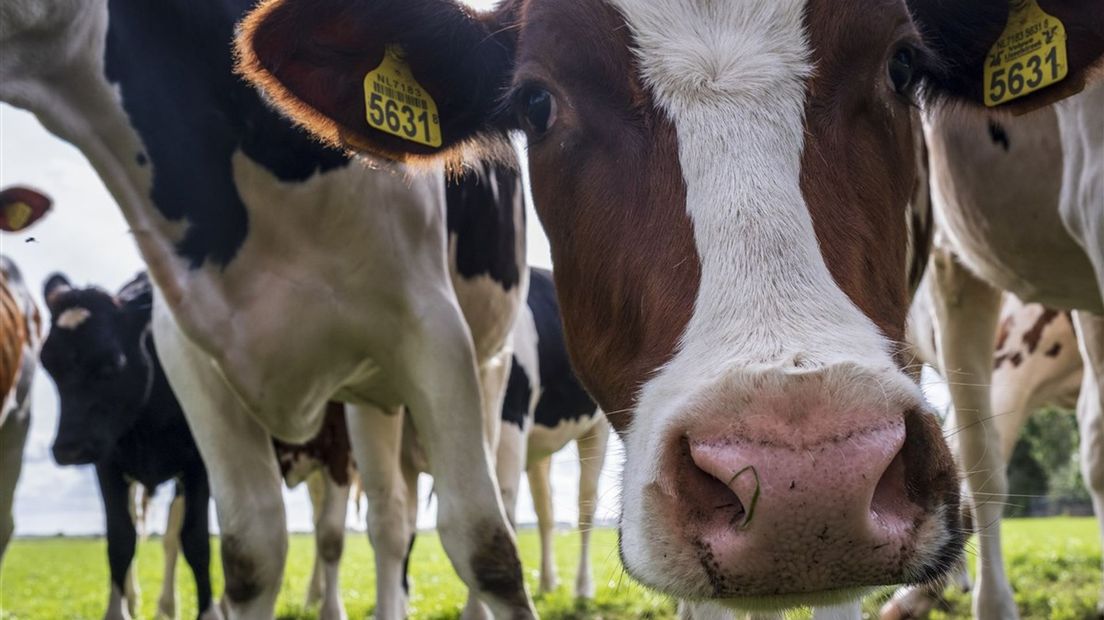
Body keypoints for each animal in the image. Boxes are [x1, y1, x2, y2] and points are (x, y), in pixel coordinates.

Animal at [0, 2, 534, 613]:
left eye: (110, 364)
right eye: (49, 366)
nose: (67, 449)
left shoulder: (432, 328)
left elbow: (484, 542)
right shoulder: (190, 359)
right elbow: (248, 556)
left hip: (487, 364)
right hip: (371, 398)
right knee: (389, 519)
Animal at [494, 268, 609, 595]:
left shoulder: (509, 416)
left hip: (596, 428)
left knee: (586, 503)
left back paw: (583, 586)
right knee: (545, 510)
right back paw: (547, 582)